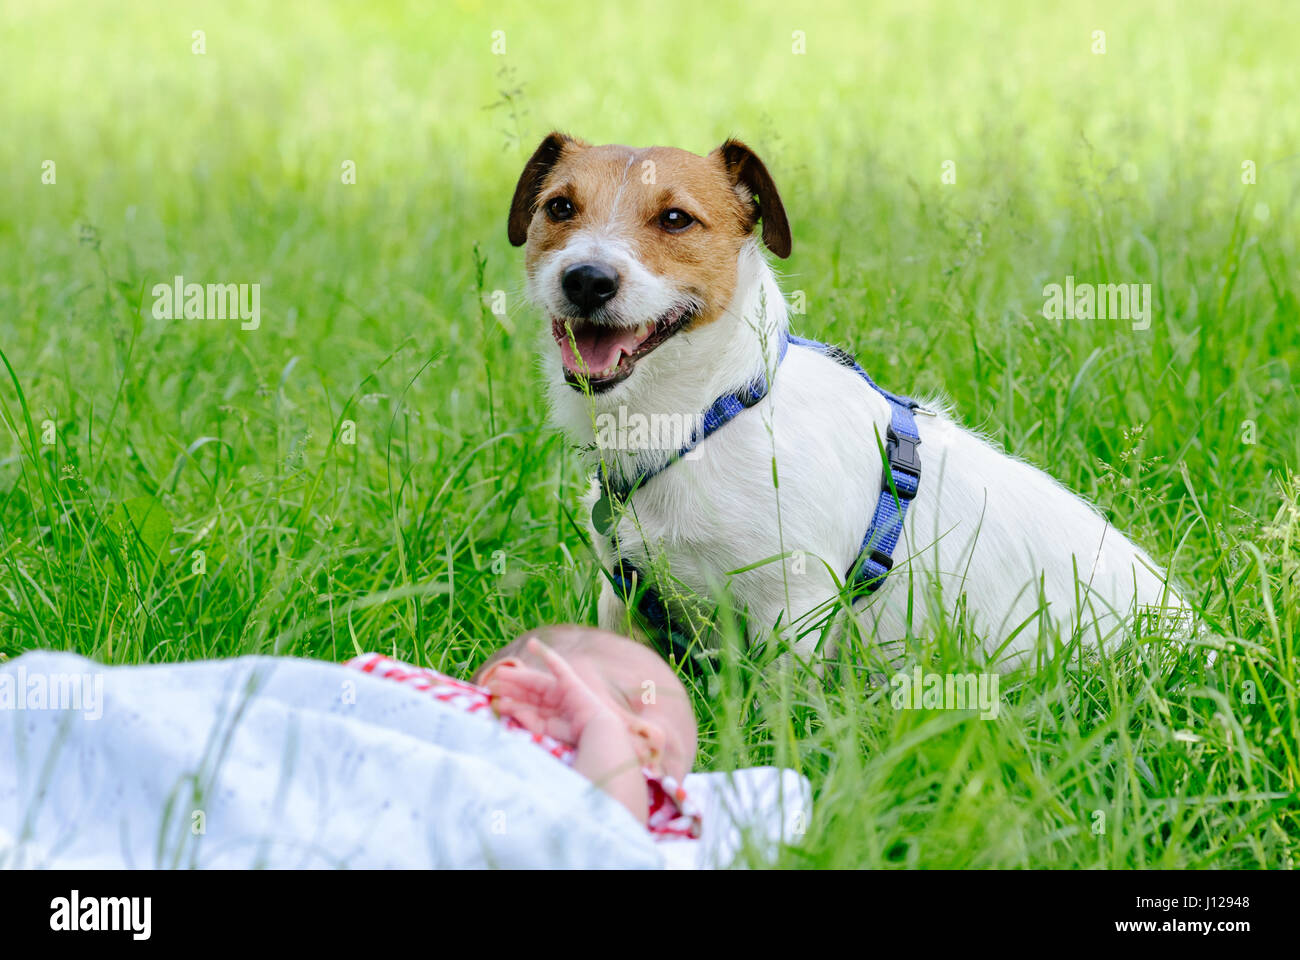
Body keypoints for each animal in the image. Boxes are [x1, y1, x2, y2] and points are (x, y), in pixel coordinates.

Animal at [504, 130, 1190, 660]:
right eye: (559, 207)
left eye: (676, 218)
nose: (586, 279)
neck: (708, 416)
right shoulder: (624, 601)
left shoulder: (792, 606)